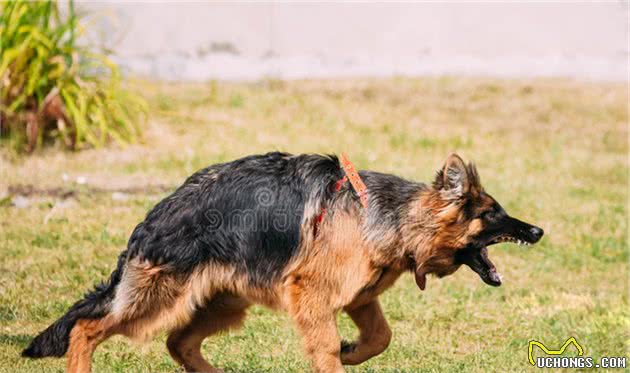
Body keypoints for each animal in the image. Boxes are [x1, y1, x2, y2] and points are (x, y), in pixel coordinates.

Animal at [23, 152, 544, 372]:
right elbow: (328, 349)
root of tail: (155, 217)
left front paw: (354, 351)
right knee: (87, 328)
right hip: (159, 299)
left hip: (223, 303)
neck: (391, 218)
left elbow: (380, 338)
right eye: (493, 213)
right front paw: (342, 355)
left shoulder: (359, 298)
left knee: (179, 343)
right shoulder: (313, 297)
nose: (538, 232)